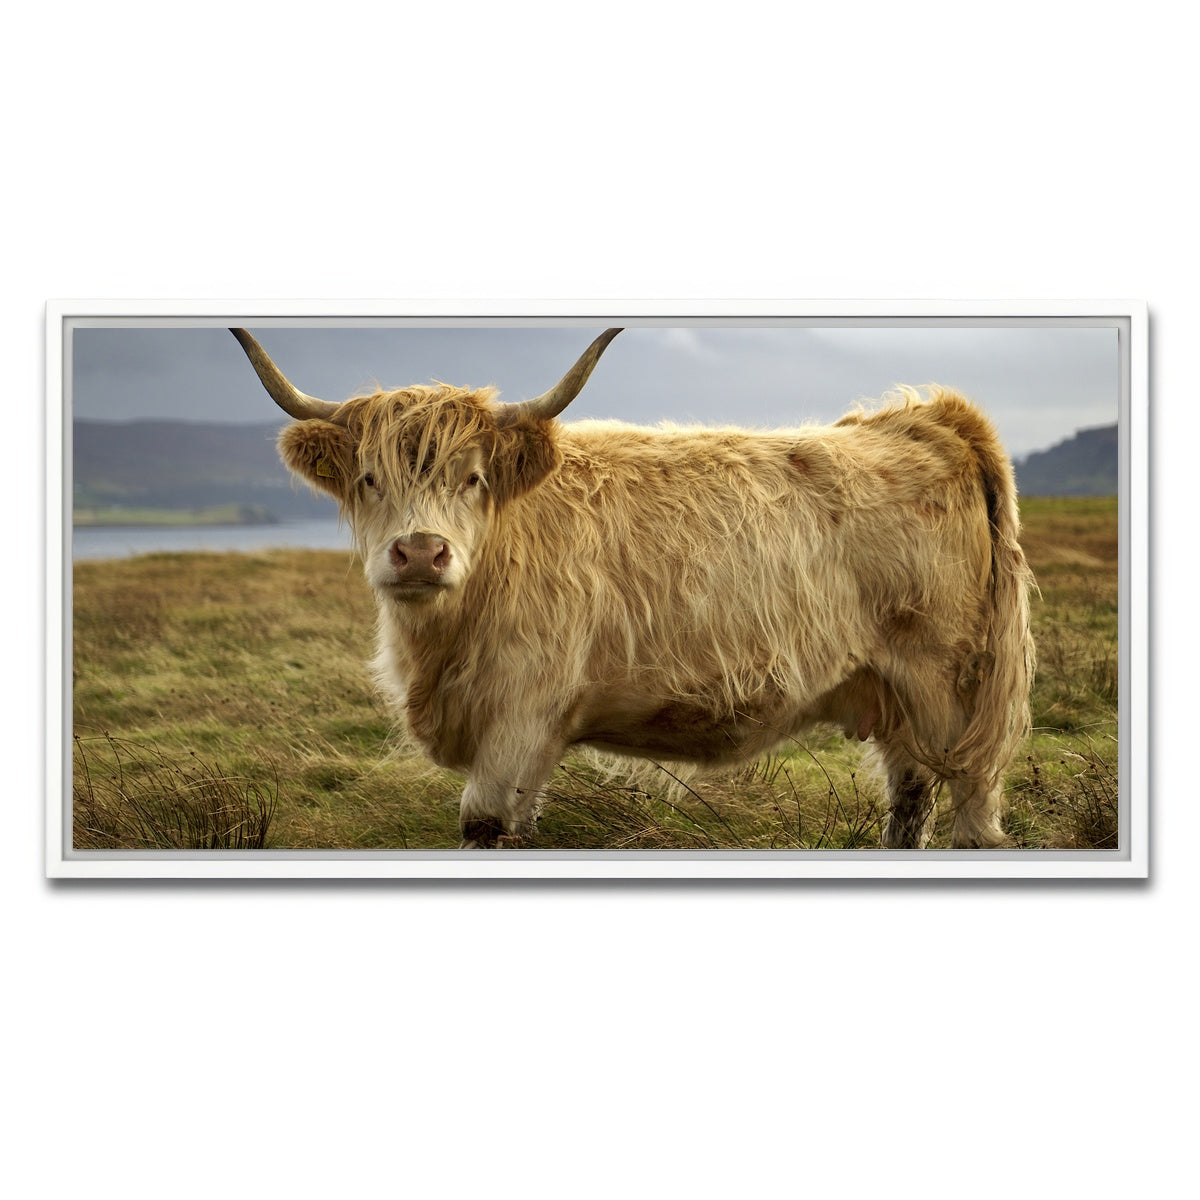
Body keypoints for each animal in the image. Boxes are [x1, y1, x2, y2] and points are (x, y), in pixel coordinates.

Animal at [231, 326, 1036, 849]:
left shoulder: (517, 718)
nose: (422, 554)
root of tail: (926, 417)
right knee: (910, 798)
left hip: (951, 688)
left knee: (971, 803)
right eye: (369, 479)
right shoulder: (533, 740)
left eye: (474, 478)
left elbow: (484, 826)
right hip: (894, 692)